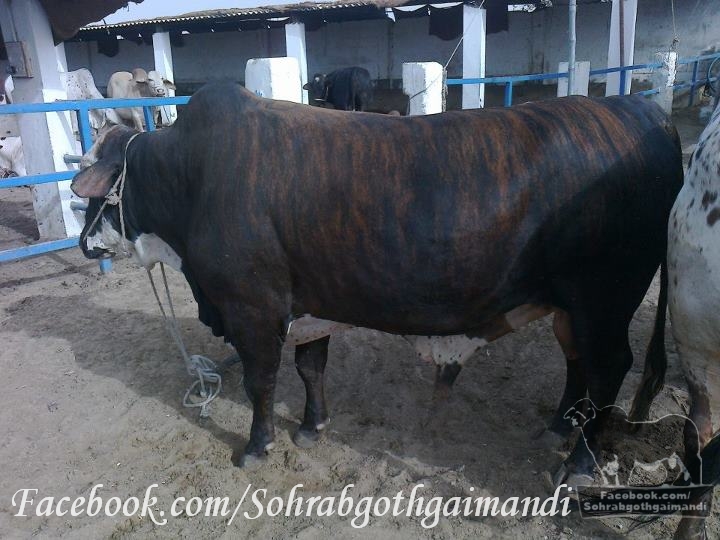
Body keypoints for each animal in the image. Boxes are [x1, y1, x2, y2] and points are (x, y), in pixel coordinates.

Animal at [70, 83, 682, 481]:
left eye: (97, 189)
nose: (83, 242)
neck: (195, 176)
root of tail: (645, 110)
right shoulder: (308, 305)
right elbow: (310, 368)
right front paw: (312, 427)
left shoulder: (252, 310)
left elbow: (260, 383)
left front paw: (256, 447)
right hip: (568, 308)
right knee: (579, 366)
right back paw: (558, 428)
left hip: (605, 300)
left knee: (609, 371)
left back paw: (581, 463)